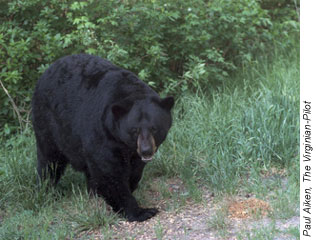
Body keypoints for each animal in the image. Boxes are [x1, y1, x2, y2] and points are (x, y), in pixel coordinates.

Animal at [31, 54, 175, 221]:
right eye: (134, 130)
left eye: (154, 128)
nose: (146, 151)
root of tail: (46, 71)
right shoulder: (102, 133)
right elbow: (109, 173)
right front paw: (140, 211)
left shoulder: (132, 150)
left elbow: (134, 169)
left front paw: (130, 185)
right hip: (49, 123)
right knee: (50, 159)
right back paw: (46, 189)